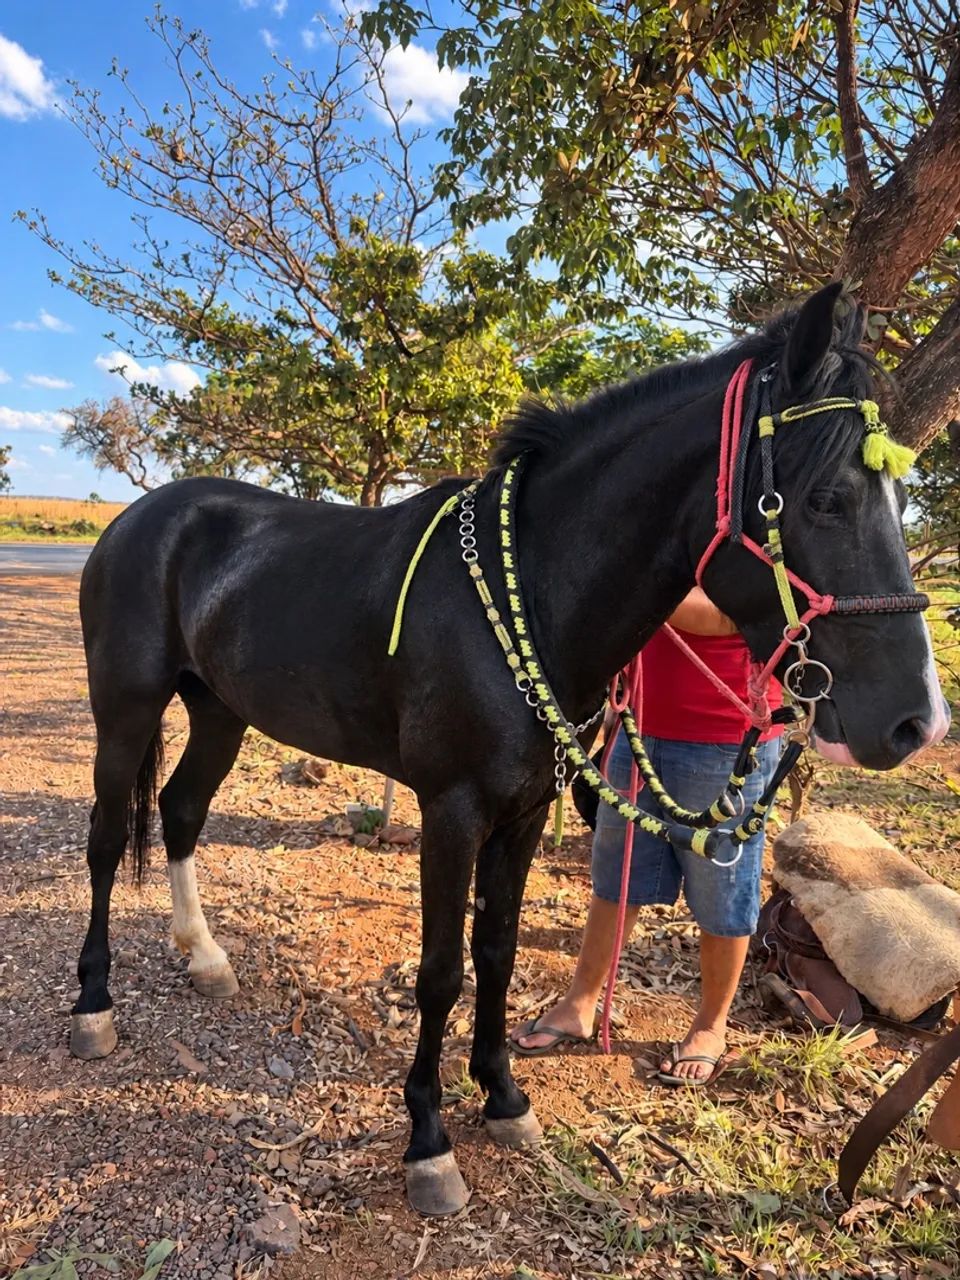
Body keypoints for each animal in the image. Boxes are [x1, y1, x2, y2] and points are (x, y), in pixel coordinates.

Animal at [70, 283, 949, 1216]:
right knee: (104, 842)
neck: (528, 588)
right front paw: (428, 1143)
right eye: (824, 499)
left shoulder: (525, 812)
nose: (918, 722)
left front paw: (502, 1098)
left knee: (180, 812)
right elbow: (440, 972)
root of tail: (141, 516)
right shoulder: (451, 811)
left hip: (219, 713)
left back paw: (203, 957)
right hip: (125, 710)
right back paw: (93, 1004)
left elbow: (495, 954)